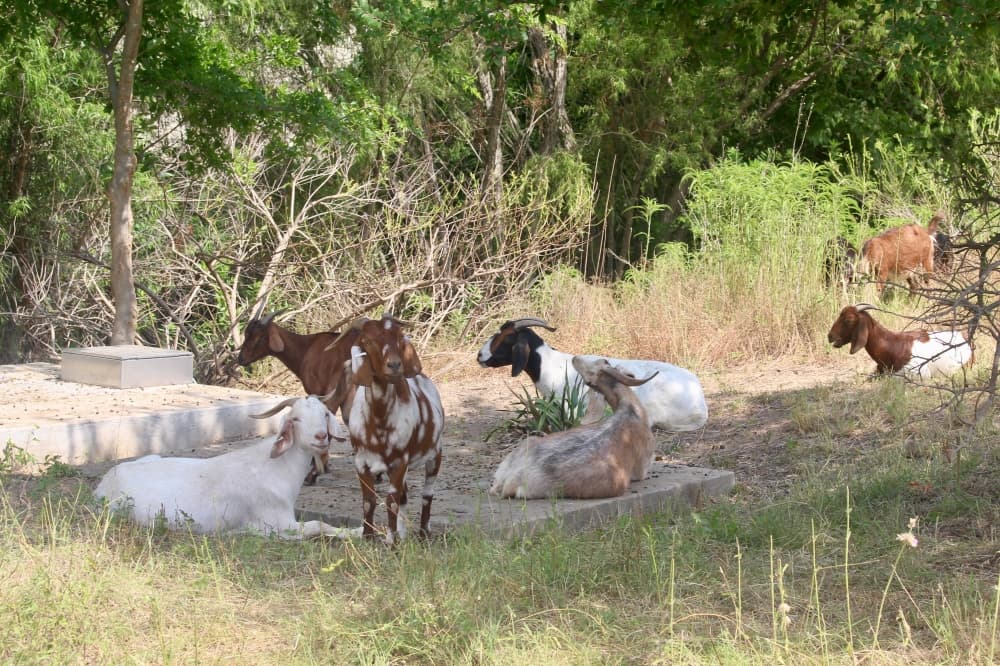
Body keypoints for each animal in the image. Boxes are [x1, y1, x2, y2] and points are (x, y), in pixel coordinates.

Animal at [94, 396, 360, 539]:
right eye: (295, 419)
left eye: (324, 414)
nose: (320, 437)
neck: (275, 467)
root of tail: (106, 481)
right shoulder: (277, 523)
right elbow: (319, 525)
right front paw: (357, 533)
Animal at [237, 310, 360, 484]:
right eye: (247, 334)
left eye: (258, 336)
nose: (240, 358)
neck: (306, 349)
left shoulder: (321, 393)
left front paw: (316, 469)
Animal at [329, 315, 445, 542]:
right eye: (367, 340)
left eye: (399, 337)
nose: (395, 365)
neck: (379, 422)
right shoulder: (361, 462)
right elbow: (369, 500)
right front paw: (368, 536)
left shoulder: (399, 462)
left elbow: (391, 501)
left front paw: (391, 541)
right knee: (404, 495)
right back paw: (403, 534)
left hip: (435, 453)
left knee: (427, 494)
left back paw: (423, 533)